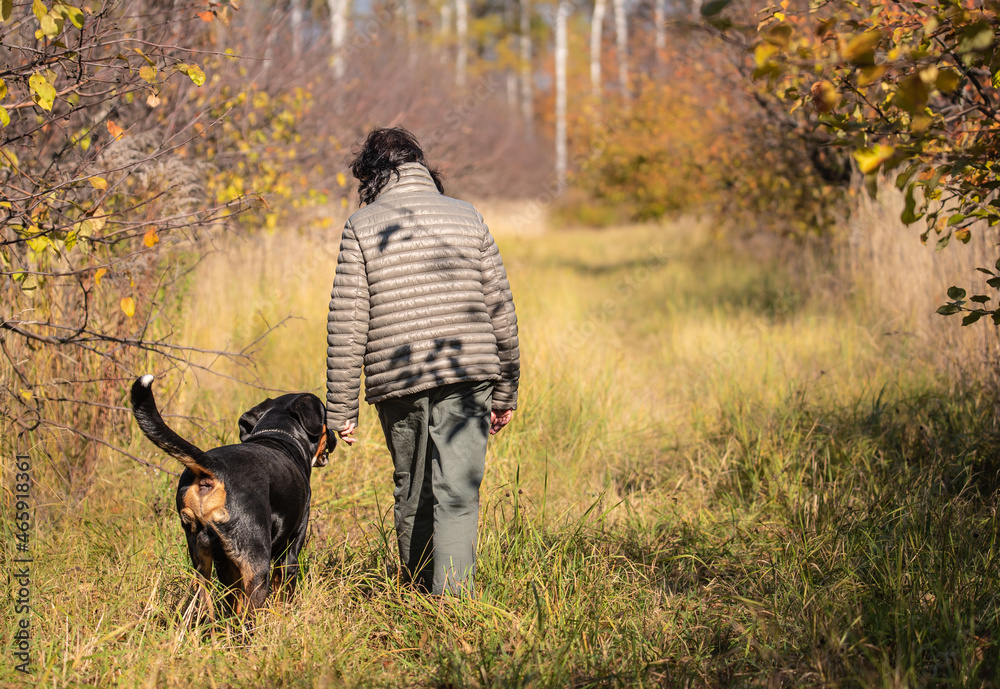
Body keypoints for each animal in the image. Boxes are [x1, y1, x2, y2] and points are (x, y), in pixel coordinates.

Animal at [130, 376, 328, 612]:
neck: (278, 434)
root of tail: (214, 467)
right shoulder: (291, 549)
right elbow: (284, 595)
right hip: (257, 565)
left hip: (202, 564)